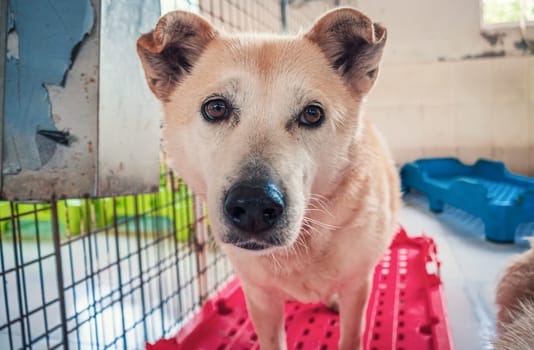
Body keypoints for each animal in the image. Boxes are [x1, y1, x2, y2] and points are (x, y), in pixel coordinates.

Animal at [136, 8, 400, 350]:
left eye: (312, 114)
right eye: (216, 108)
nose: (253, 207)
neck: (302, 245)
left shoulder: (357, 286)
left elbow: (351, 336)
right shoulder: (260, 298)